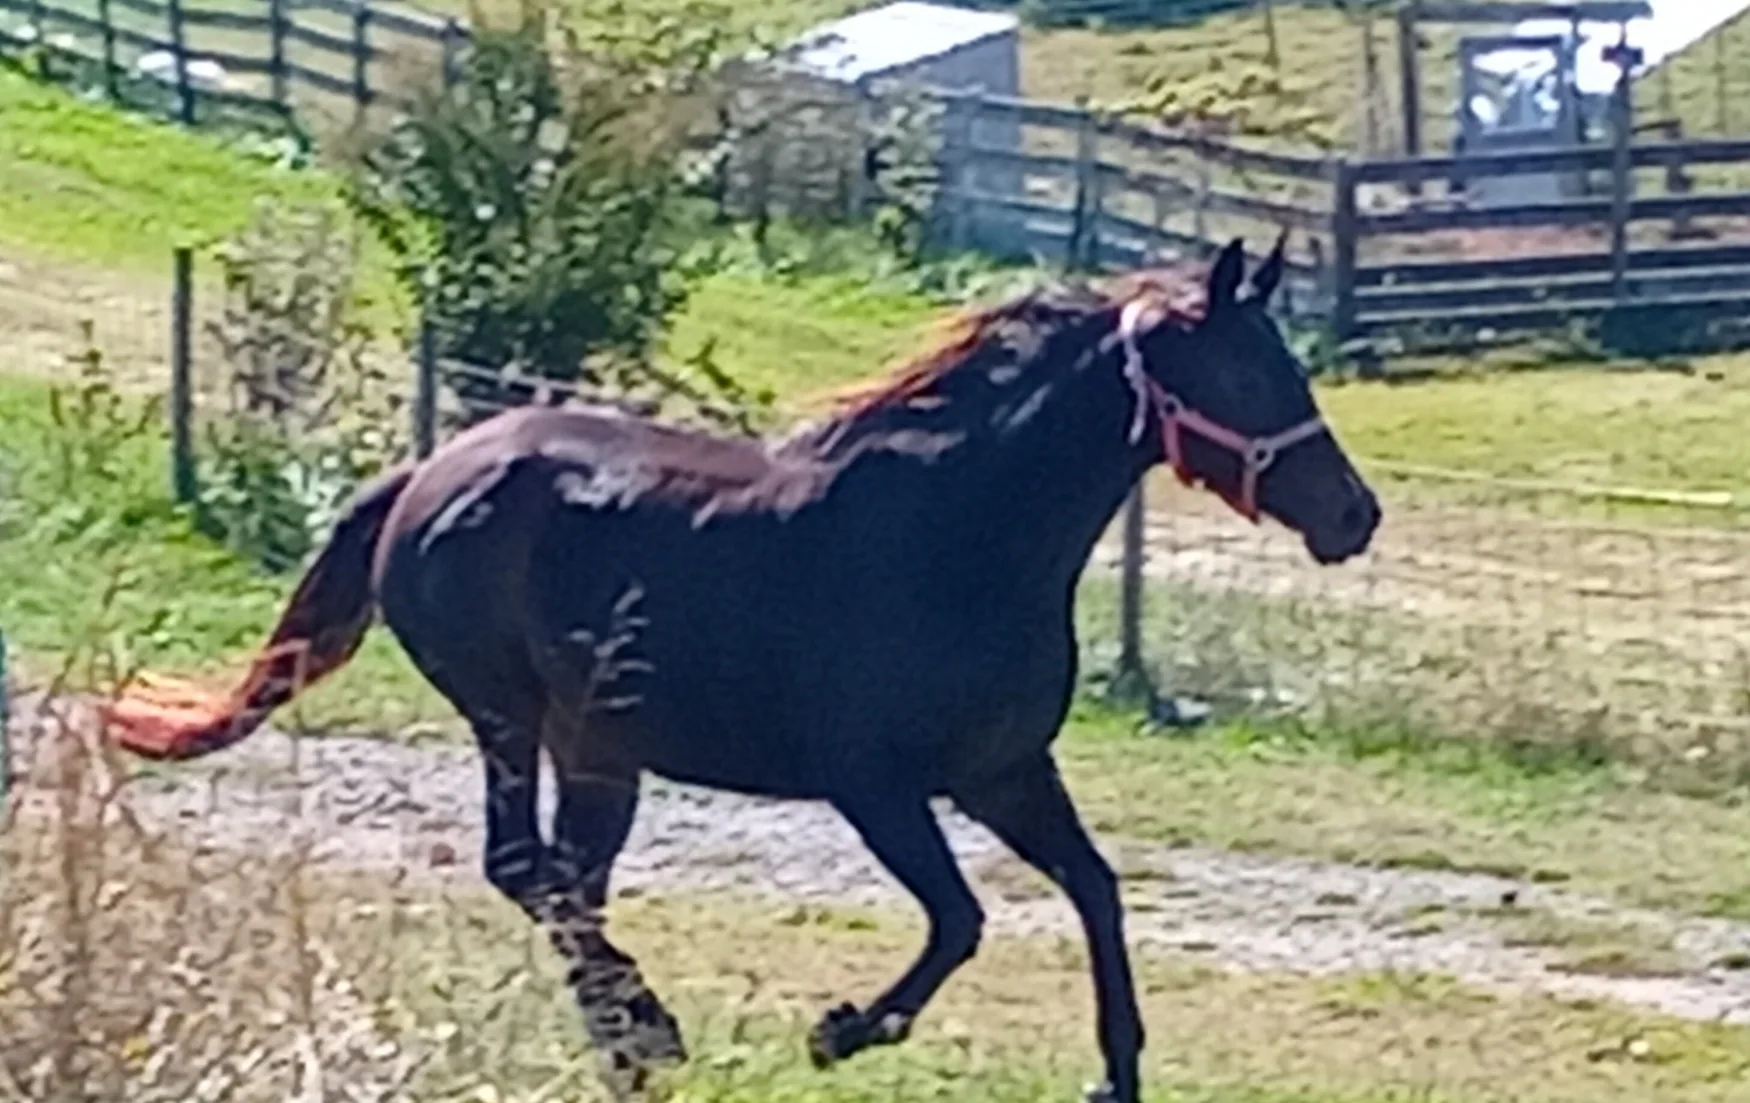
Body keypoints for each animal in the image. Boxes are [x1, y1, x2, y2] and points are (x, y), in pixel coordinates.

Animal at [102, 238, 1381, 1103]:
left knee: (568, 880)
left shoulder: (1005, 770)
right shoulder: (878, 784)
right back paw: (649, 1030)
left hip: (600, 748)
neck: (962, 534)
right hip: (511, 713)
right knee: (526, 868)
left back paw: (631, 1041)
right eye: (1246, 374)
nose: (1353, 516)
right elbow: (960, 919)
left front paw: (1113, 1073)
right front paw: (840, 1026)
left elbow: (1098, 889)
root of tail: (424, 474)